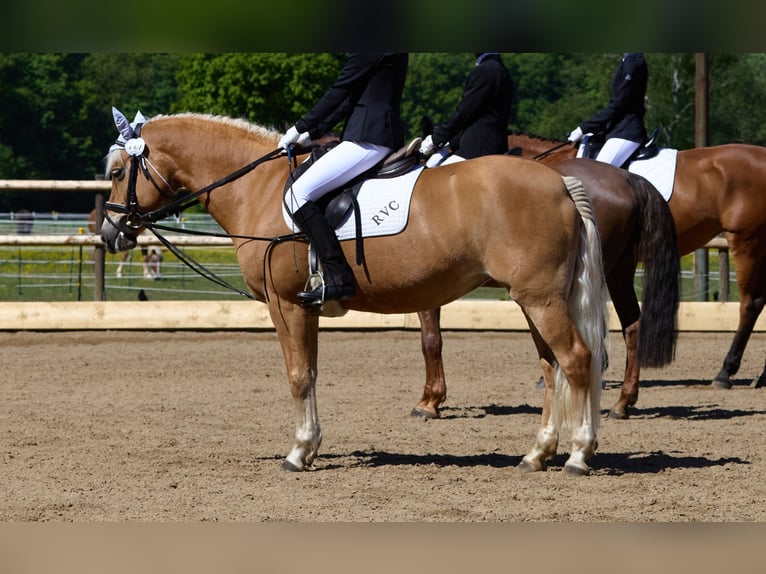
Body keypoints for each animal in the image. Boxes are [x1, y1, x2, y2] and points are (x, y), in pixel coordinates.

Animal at [99, 112, 609, 475]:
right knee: (551, 367)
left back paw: (578, 456)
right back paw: (537, 454)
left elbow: (297, 376)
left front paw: (298, 452)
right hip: (532, 299)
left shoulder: (286, 305)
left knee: (576, 360)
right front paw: (311, 446)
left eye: (119, 170)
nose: (110, 233)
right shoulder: (307, 308)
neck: (258, 190)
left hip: (541, 300)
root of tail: (561, 182)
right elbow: (311, 373)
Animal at [414, 157, 681, 420]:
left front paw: (429, 401)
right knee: (632, 327)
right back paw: (622, 402)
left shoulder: (428, 287)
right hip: (619, 272)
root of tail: (625, 176)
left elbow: (431, 341)